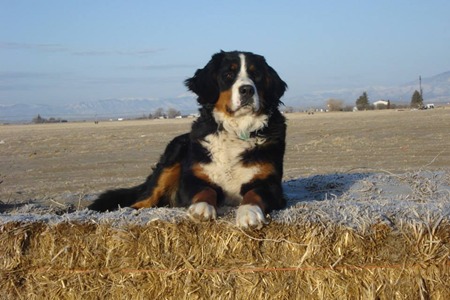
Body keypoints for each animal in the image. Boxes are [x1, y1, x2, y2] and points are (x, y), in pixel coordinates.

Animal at [89, 51, 286, 230]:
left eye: (256, 75)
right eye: (228, 75)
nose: (247, 89)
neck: (236, 130)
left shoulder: (270, 184)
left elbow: (254, 194)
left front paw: (249, 213)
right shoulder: (192, 179)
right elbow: (206, 190)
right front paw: (201, 208)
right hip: (171, 159)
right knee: (144, 199)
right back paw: (132, 211)